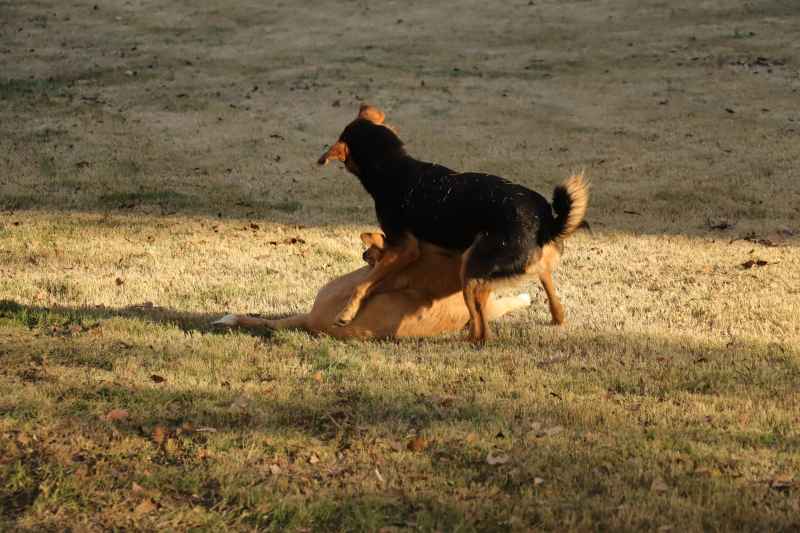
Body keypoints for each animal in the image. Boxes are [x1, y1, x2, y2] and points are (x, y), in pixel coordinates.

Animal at [318, 106, 588, 342]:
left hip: (470, 269)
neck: (394, 166)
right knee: (543, 278)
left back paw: (470, 340)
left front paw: (345, 313)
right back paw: (556, 316)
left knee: (482, 330)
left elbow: (363, 284)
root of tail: (546, 221)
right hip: (499, 265)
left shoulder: (403, 248)